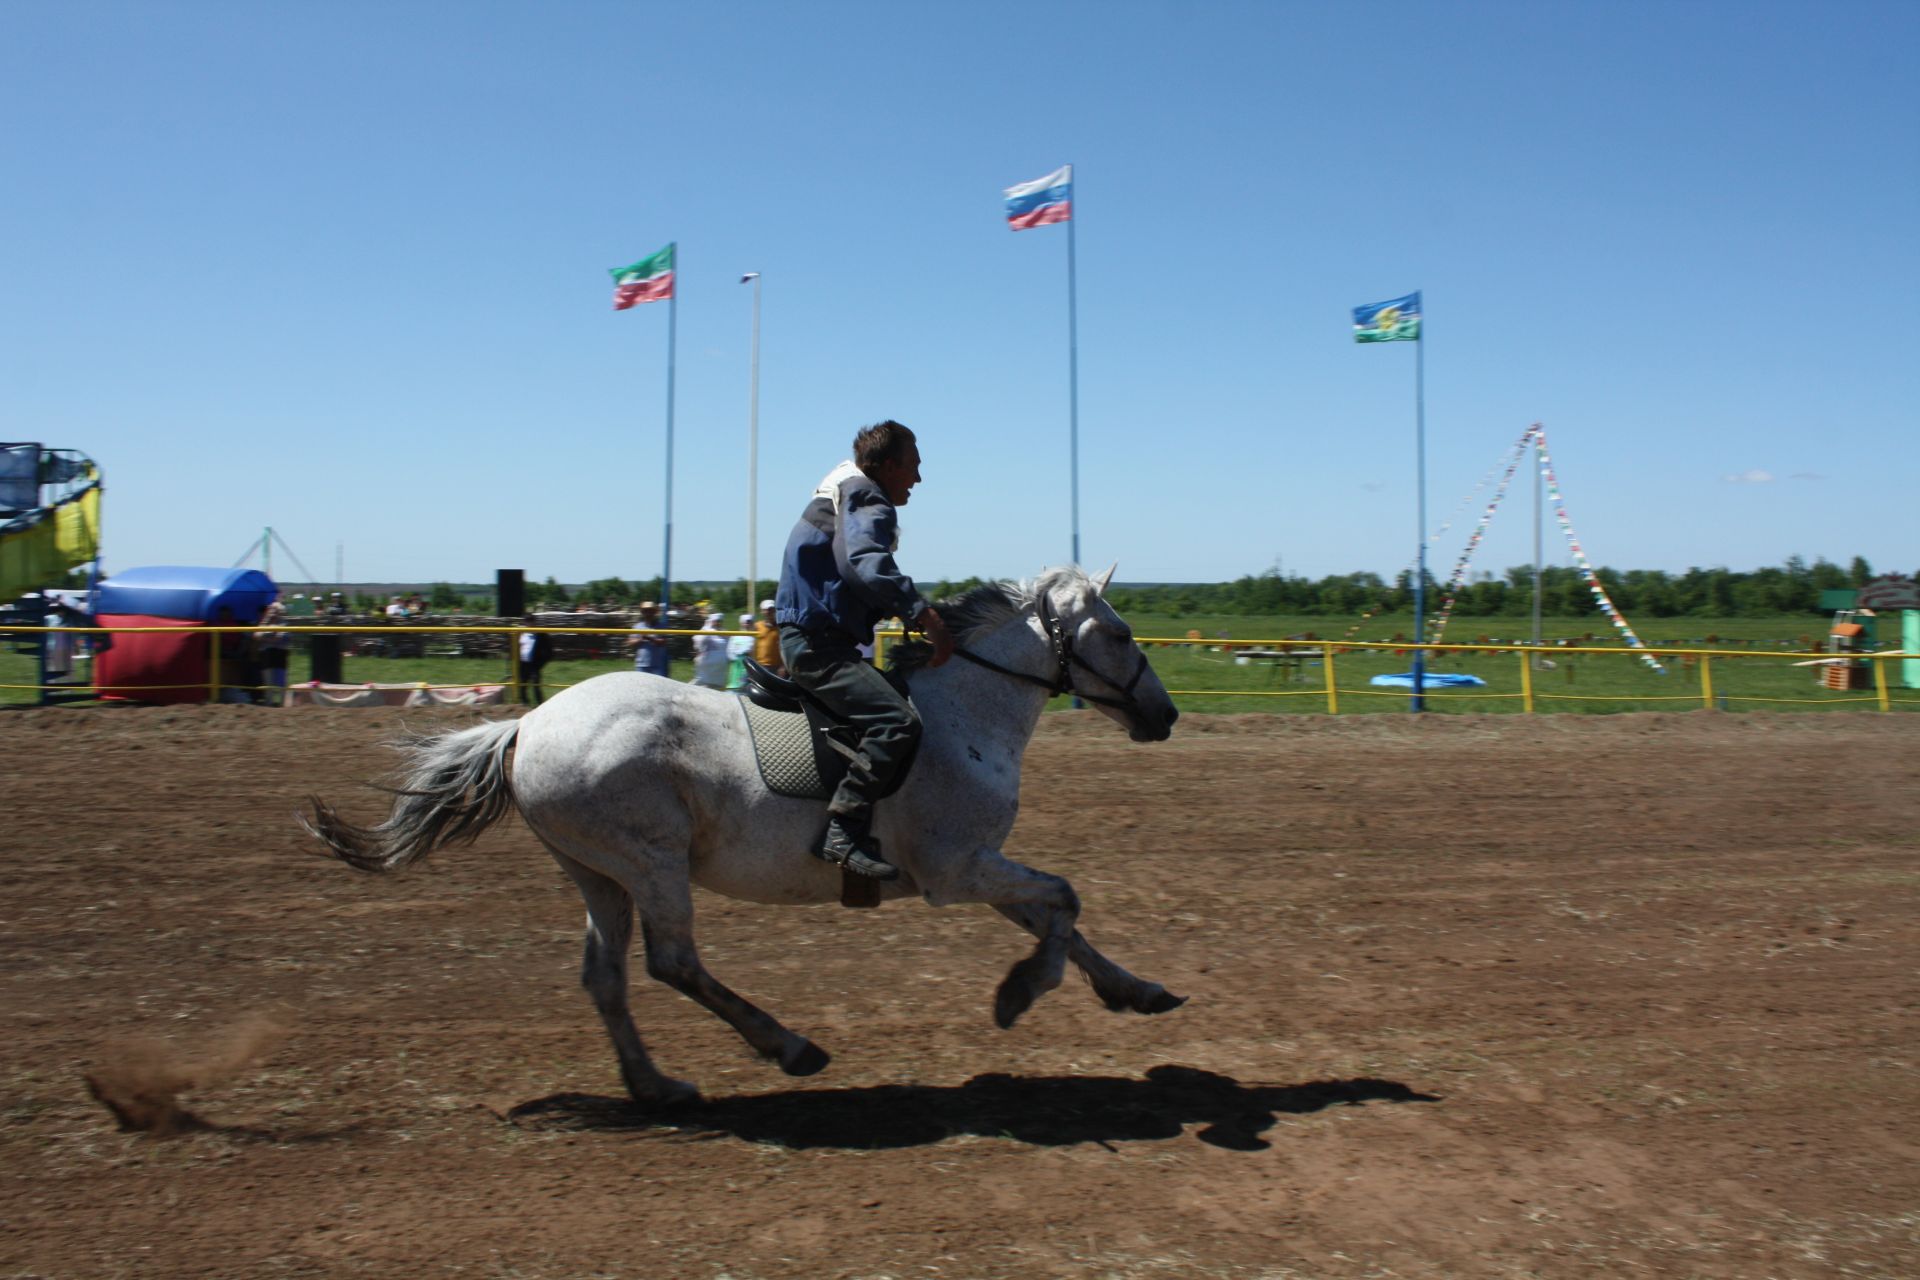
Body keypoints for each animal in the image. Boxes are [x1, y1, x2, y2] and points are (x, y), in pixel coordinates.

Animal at [307, 564, 1182, 1105]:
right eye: (1121, 633)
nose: (1166, 714)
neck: (966, 714)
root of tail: (527, 723)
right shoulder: (956, 871)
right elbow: (1064, 902)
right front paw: (1018, 995)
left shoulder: (978, 864)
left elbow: (1060, 918)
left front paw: (1135, 990)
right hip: (650, 863)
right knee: (671, 962)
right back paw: (788, 1046)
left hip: (599, 873)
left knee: (606, 977)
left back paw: (657, 1087)